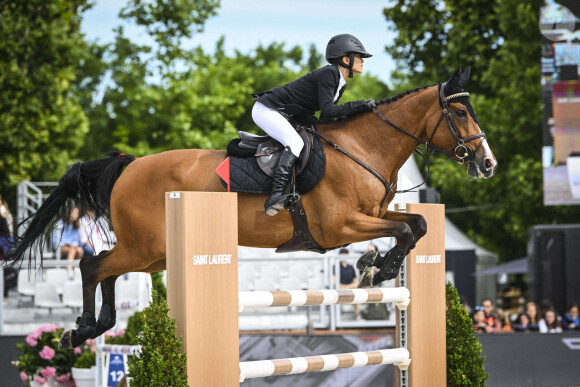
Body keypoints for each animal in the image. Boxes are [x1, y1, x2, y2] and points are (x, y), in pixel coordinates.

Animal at [4, 66, 496, 348]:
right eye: (461, 114)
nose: (487, 164)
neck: (362, 149)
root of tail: (130, 165)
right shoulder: (339, 227)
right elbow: (407, 229)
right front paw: (378, 268)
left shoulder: (371, 216)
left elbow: (416, 224)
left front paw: (375, 265)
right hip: (146, 248)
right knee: (93, 266)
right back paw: (82, 328)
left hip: (153, 254)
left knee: (108, 267)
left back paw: (98, 325)